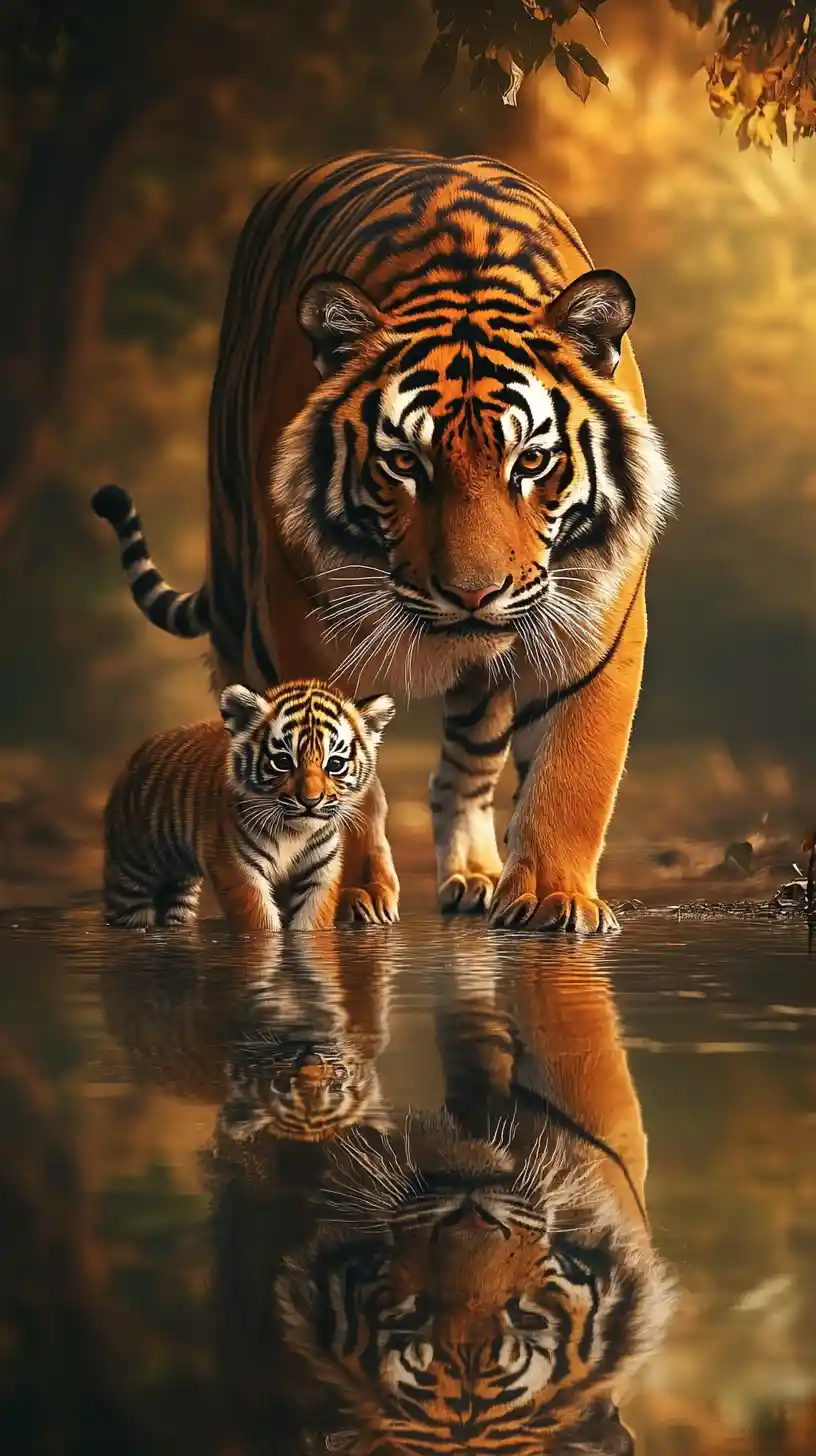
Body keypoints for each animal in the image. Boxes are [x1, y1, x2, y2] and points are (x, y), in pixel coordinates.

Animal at [102, 678, 394, 932]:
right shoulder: (237, 869)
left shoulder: (320, 872)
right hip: (130, 874)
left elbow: (312, 919)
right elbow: (260, 920)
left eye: (334, 764)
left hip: (179, 892)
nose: (310, 802)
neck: (294, 833)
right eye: (283, 761)